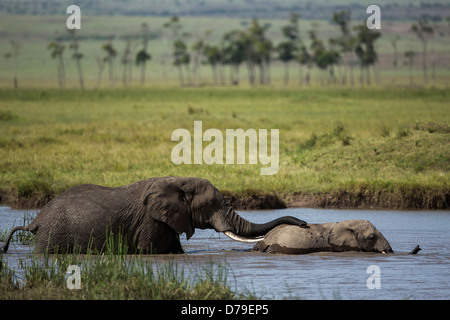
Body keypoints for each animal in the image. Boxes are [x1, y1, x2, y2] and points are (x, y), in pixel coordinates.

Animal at [0, 176, 308, 254]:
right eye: (212, 206)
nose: (305, 223)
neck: (178, 181)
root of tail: (36, 220)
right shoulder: (150, 221)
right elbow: (149, 251)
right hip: (53, 236)